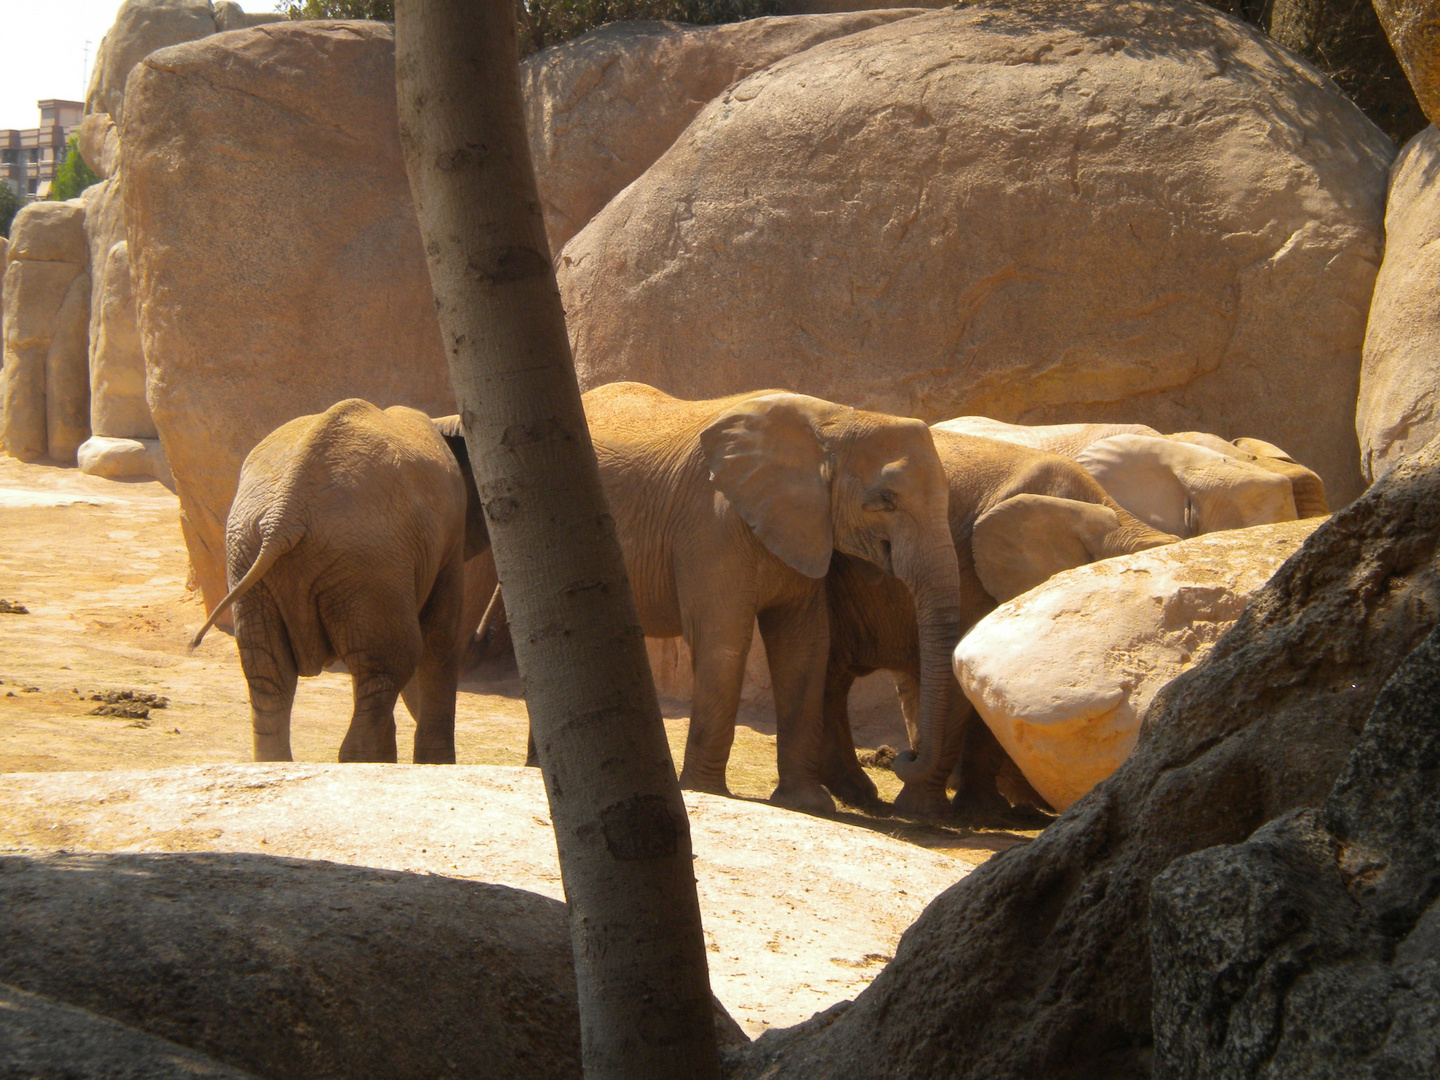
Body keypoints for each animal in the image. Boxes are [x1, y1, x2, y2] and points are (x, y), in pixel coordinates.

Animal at [190, 403, 489, 766]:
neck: (443, 423)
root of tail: (284, 515)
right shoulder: (449, 534)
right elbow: (439, 638)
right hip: (366, 558)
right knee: (391, 663)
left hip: (251, 553)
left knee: (268, 673)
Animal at [576, 385, 967, 817]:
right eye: (886, 499)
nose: (901, 756)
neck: (836, 421)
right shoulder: (712, 521)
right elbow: (724, 640)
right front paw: (706, 789)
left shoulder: (805, 528)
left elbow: (804, 647)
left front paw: (807, 802)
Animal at [817, 426, 1175, 817]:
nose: (901, 755)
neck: (1115, 517)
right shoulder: (970, 571)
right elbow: (959, 679)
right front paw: (928, 812)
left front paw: (985, 811)